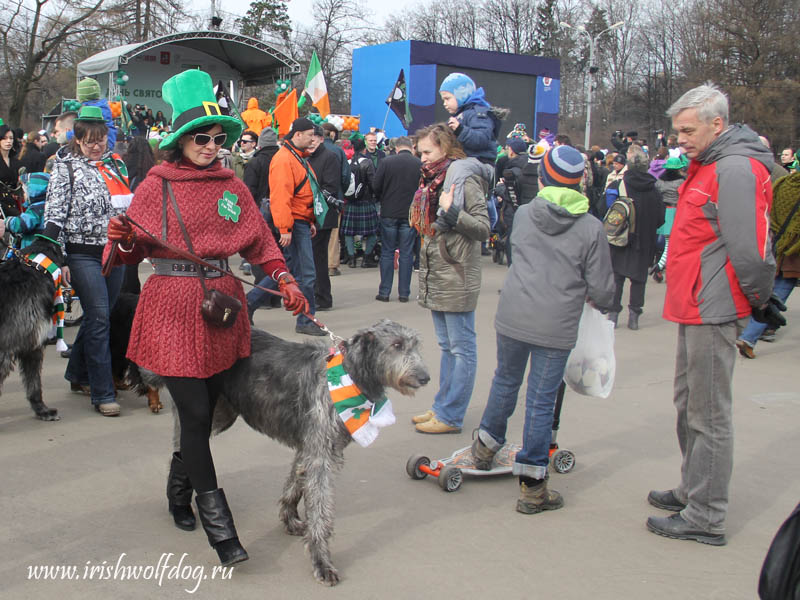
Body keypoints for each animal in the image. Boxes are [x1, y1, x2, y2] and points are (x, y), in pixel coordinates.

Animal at [145, 318, 432, 584]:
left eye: (415, 344)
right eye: (396, 345)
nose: (425, 378)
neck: (349, 374)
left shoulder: (310, 445)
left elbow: (295, 483)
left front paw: (290, 520)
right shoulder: (320, 452)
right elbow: (320, 509)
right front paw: (322, 562)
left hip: (222, 412)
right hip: (206, 412)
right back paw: (181, 508)